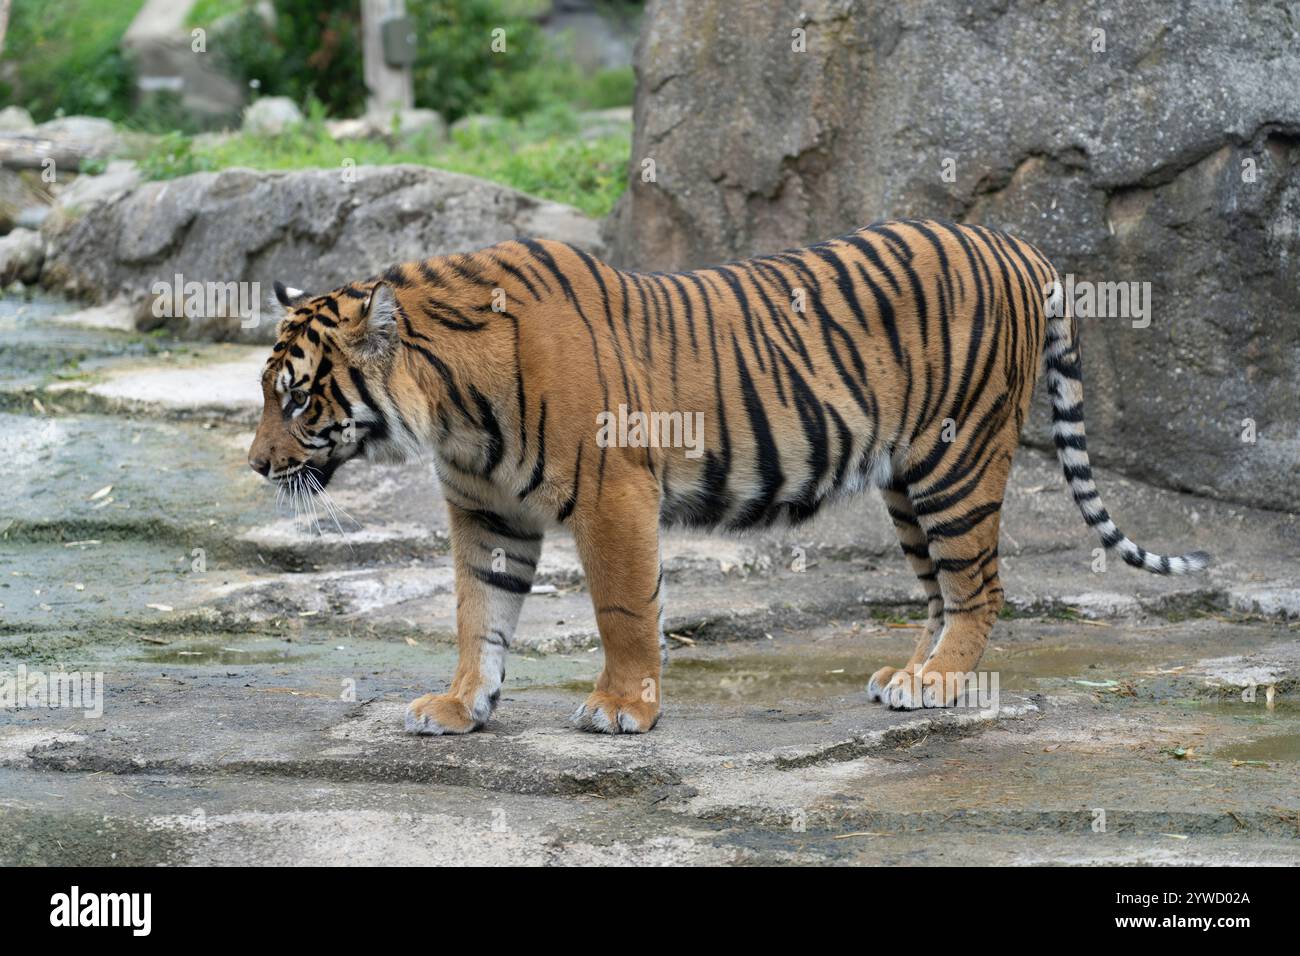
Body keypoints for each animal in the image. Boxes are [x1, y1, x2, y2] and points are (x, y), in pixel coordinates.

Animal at [247, 219, 1209, 735]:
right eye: (267, 395)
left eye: (295, 398)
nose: (257, 465)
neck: (448, 410)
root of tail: (1015, 243)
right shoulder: (488, 514)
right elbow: (477, 616)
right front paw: (459, 706)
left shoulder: (613, 492)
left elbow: (624, 609)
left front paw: (622, 708)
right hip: (907, 480)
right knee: (941, 590)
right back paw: (909, 674)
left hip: (958, 460)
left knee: (981, 586)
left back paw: (935, 685)